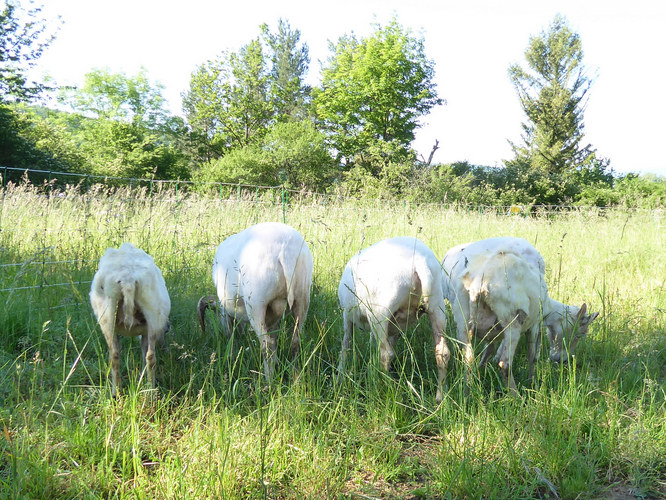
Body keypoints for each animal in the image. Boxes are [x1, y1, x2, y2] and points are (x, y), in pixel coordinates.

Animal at [89, 243, 170, 398]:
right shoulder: (144, 332)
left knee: (121, 355)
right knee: (142, 356)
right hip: (148, 314)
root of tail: (127, 279)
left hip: (111, 315)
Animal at [196, 221, 312, 380]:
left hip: (256, 304)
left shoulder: (226, 312)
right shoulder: (273, 319)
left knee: (266, 344)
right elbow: (274, 339)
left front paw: (231, 357)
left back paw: (269, 380)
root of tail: (285, 250)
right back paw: (295, 377)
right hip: (302, 298)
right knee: (295, 341)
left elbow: (229, 334)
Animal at [334, 237, 448, 402]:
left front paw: (340, 375)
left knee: (386, 353)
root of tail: (419, 262)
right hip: (437, 304)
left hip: (379, 313)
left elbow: (346, 343)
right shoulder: (396, 327)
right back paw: (439, 396)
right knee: (442, 352)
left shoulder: (347, 315)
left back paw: (383, 387)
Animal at [440, 236, 596, 392]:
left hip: (462, 317)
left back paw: (467, 390)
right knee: (505, 363)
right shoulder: (534, 324)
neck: (548, 308)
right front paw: (532, 382)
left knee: (468, 358)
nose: (563, 361)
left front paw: (482, 369)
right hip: (512, 319)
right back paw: (515, 394)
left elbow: (490, 348)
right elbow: (532, 355)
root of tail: (478, 285)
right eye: (579, 334)